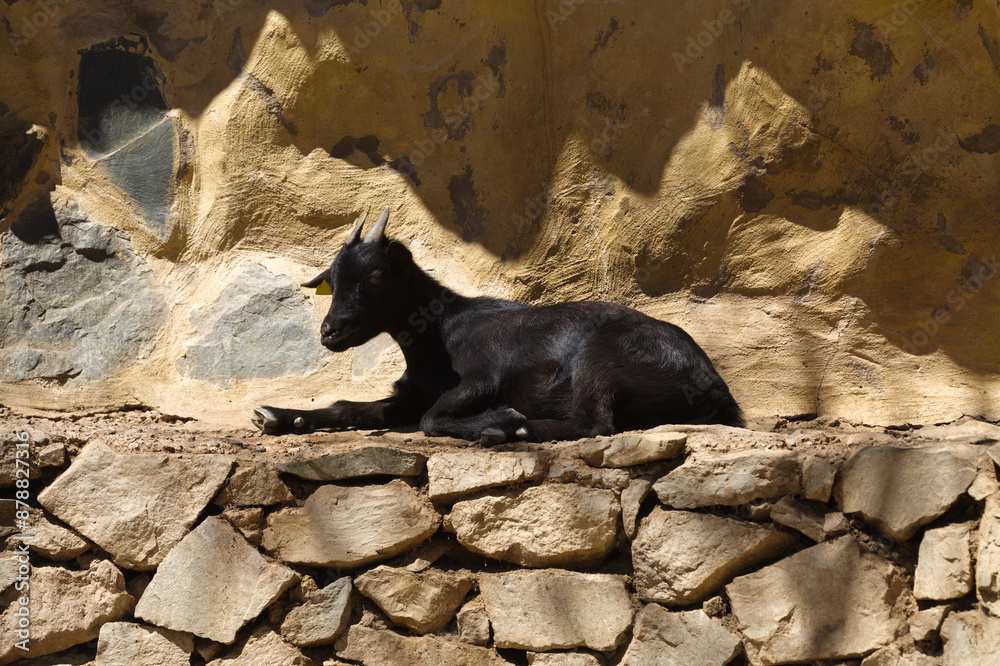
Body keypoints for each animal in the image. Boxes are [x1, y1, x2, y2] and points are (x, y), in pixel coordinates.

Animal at [252, 209, 744, 443]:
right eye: (332, 281)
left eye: (374, 277)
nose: (329, 332)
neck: (441, 334)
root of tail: (712, 382)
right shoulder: (407, 396)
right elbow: (348, 406)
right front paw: (278, 415)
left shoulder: (481, 379)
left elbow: (432, 418)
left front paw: (501, 416)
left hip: (598, 359)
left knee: (596, 423)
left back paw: (507, 430)